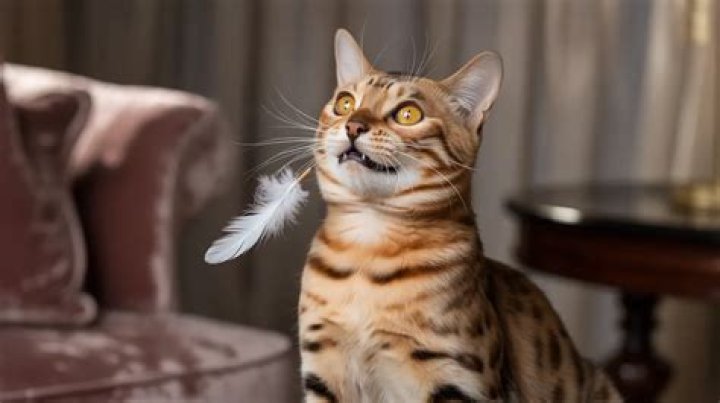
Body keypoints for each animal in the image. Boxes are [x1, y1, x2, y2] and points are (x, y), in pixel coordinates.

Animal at [298, 29, 622, 403]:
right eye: (345, 103)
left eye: (408, 114)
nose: (353, 125)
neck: (367, 253)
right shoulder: (321, 366)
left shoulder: (459, 378)